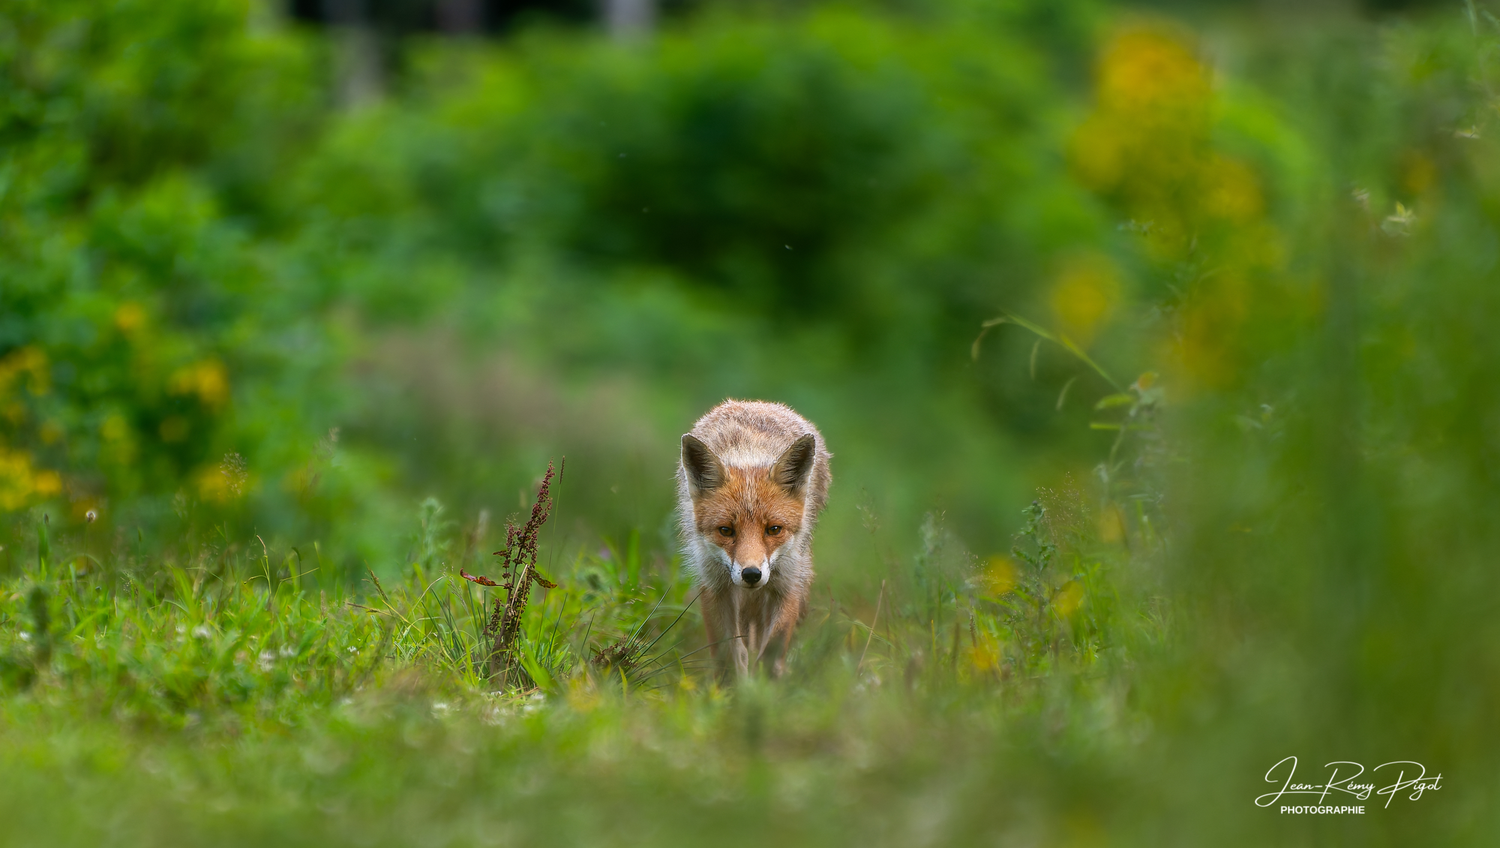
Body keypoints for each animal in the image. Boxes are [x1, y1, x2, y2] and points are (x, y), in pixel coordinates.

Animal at [677, 399, 831, 678]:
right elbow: (728, 654)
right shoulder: (714, 584)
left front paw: (763, 685)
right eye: (726, 530)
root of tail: (756, 403)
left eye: (774, 529)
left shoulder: (787, 581)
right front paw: (733, 687)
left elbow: (772, 648)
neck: (748, 456)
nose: (751, 575)